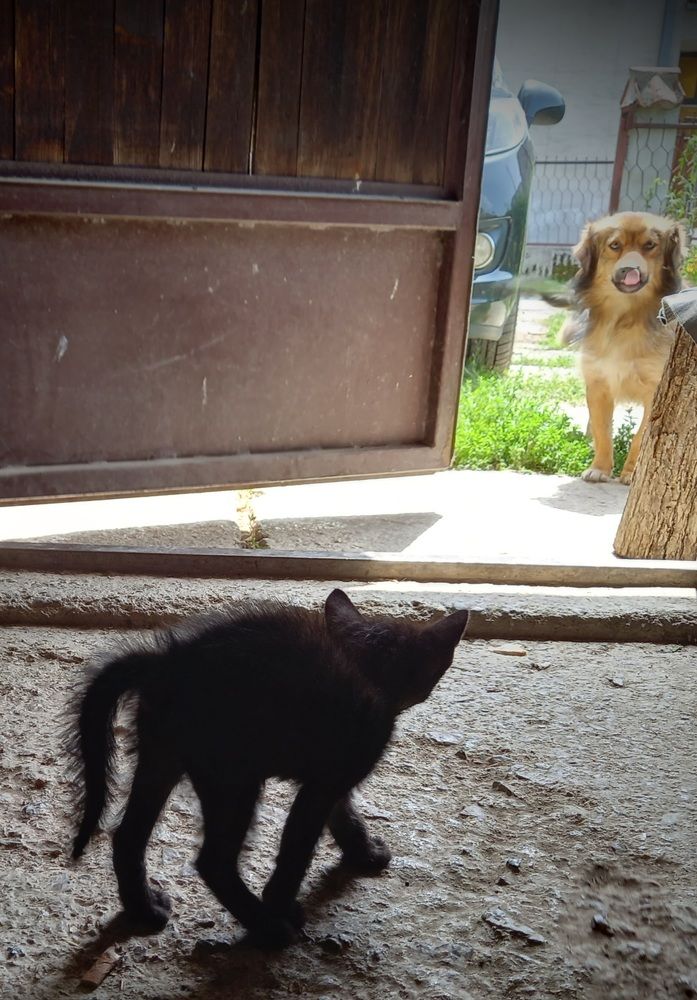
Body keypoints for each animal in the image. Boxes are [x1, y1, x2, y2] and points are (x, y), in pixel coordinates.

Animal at [67, 588, 469, 947]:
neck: (365, 667)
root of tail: (165, 660)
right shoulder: (327, 781)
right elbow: (296, 851)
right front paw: (281, 906)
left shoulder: (332, 776)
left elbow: (343, 815)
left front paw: (364, 853)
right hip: (233, 781)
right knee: (213, 861)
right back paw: (266, 928)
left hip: (161, 759)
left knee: (127, 838)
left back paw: (144, 910)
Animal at [549, 211, 686, 483]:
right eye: (614, 246)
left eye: (649, 245)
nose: (629, 269)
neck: (625, 317)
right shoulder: (598, 383)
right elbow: (602, 431)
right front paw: (600, 468)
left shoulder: (656, 391)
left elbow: (640, 437)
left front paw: (632, 472)